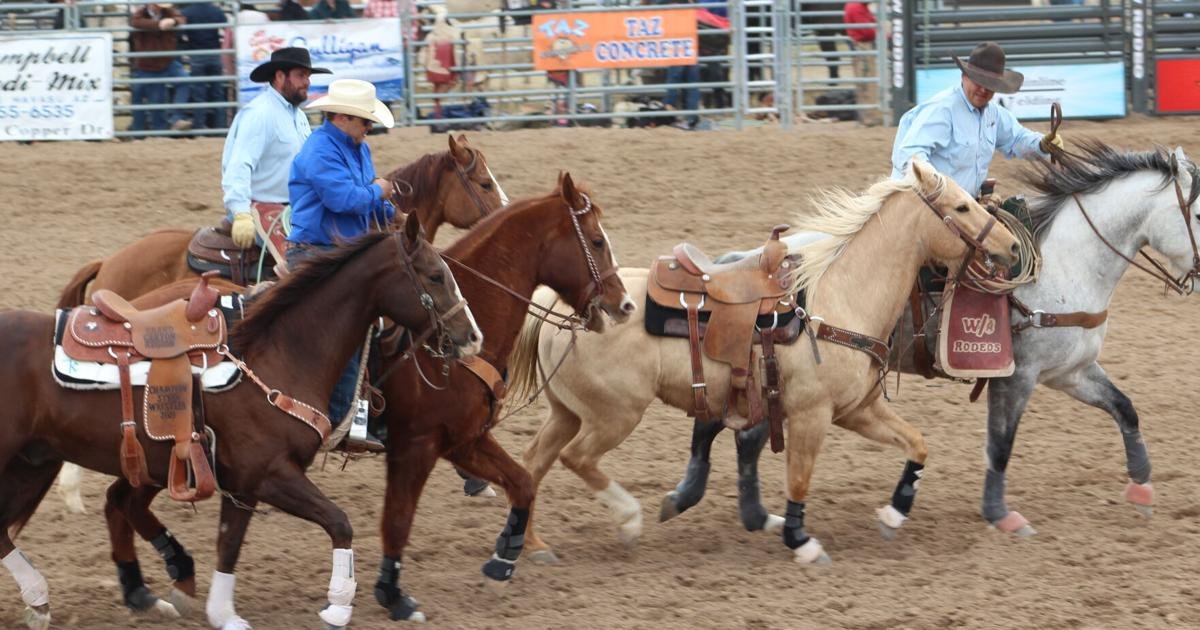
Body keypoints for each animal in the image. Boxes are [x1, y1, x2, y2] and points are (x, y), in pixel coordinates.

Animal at [1, 212, 477, 628]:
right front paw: (339, 606)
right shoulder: (269, 473)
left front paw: (223, 613)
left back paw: (54, 599)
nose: (472, 336)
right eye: (435, 275)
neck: (278, 354)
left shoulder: (244, 485)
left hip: (34, 462)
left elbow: (229, 543)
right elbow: (339, 521)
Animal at [508, 159, 1022, 561]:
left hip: (567, 411)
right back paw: (628, 520)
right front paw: (800, 539)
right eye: (961, 207)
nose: (1011, 246)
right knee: (575, 458)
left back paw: (531, 546)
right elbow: (800, 479)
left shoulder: (857, 409)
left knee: (532, 463)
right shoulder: (812, 414)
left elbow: (917, 444)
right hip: (614, 414)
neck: (839, 299)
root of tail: (562, 308)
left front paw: (894, 515)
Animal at [662, 143, 1200, 540]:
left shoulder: (1071, 372)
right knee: (726, 426)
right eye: (1197, 212)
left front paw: (1142, 485)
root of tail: (746, 261)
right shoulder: (1017, 376)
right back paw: (690, 497)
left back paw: (744, 512)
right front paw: (999, 513)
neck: (1065, 266)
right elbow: (1001, 444)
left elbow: (1125, 409)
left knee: (743, 433)